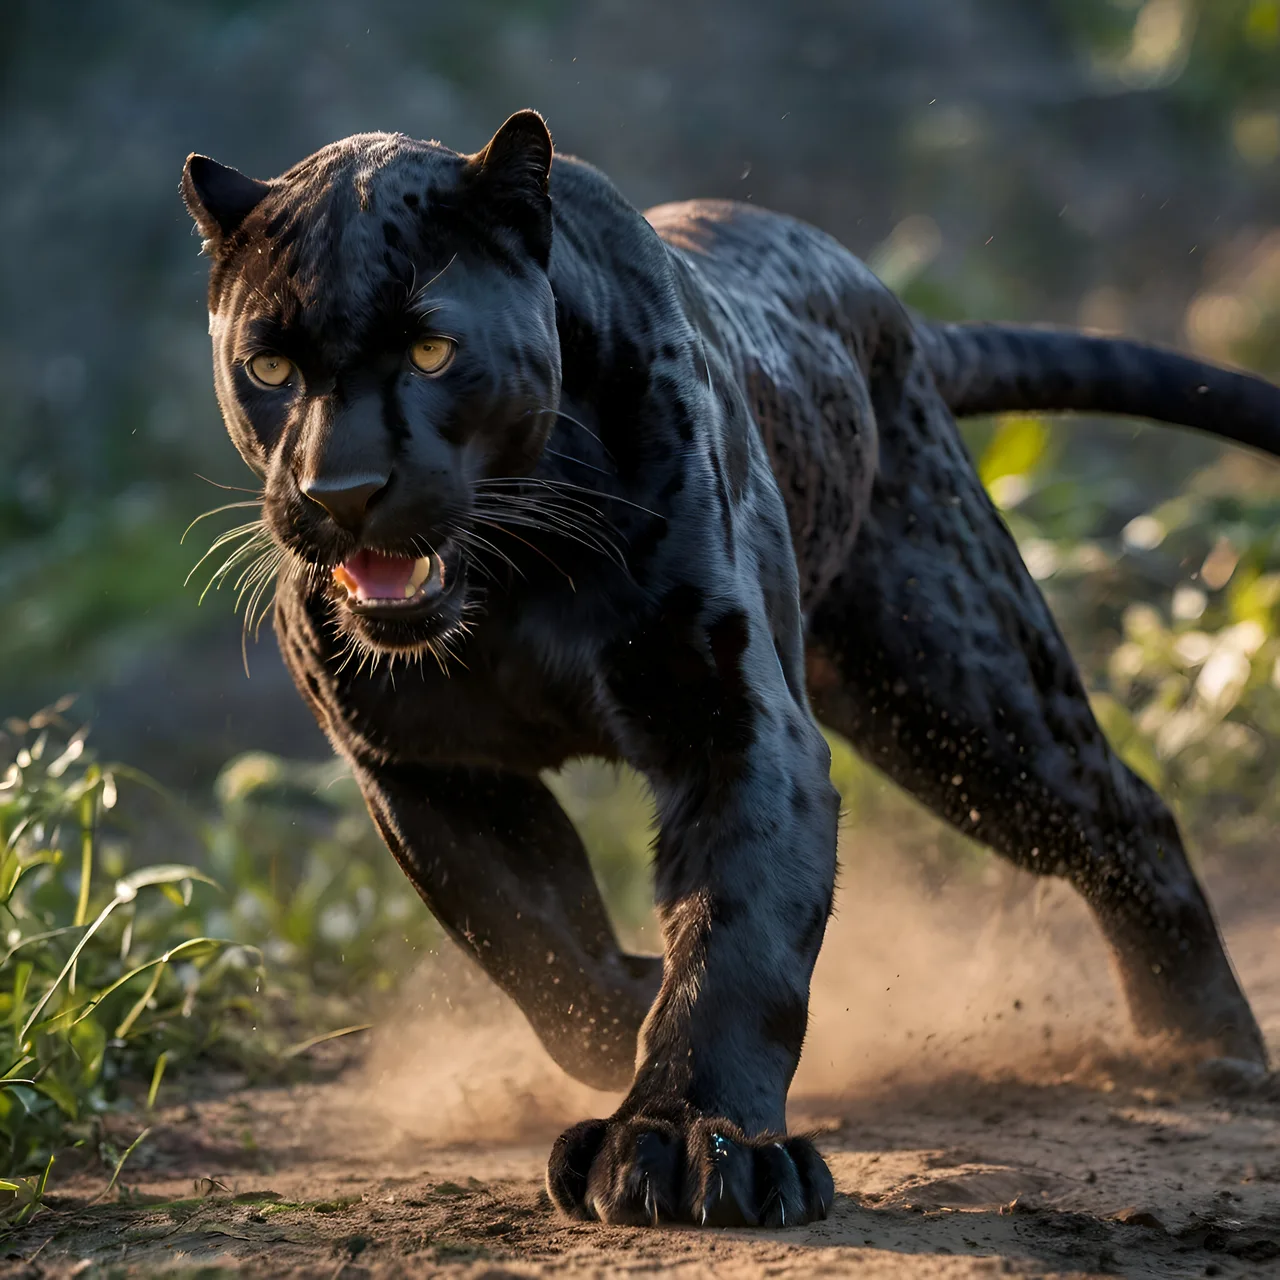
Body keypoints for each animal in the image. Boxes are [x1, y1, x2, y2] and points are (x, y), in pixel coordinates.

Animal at [181, 110, 1278, 1229]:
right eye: (269, 369)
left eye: (432, 349)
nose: (342, 488)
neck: (514, 571)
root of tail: (880, 299)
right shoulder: (427, 767)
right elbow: (530, 939)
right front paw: (629, 1012)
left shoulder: (738, 724)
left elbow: (737, 941)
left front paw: (689, 1145)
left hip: (959, 691)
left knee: (1125, 814)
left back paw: (1207, 1049)